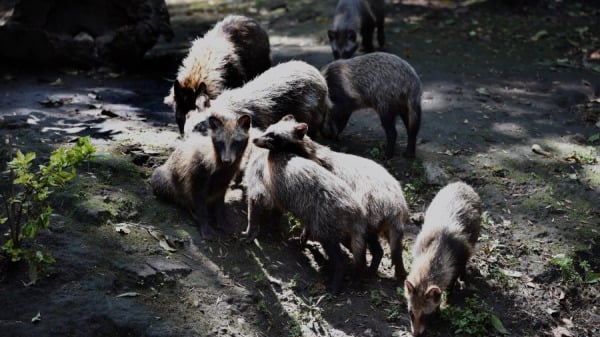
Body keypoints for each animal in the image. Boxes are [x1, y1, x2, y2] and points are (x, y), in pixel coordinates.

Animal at [251, 115, 410, 280]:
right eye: (268, 129)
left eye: (274, 136)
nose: (255, 139)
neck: (311, 151)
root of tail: (397, 207)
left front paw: (305, 234)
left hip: (369, 211)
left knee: (372, 244)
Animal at [404, 182, 482, 334]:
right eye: (411, 313)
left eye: (425, 314)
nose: (415, 334)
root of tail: (461, 183)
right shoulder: (420, 245)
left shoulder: (458, 256)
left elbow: (452, 277)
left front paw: (445, 301)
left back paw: (463, 277)